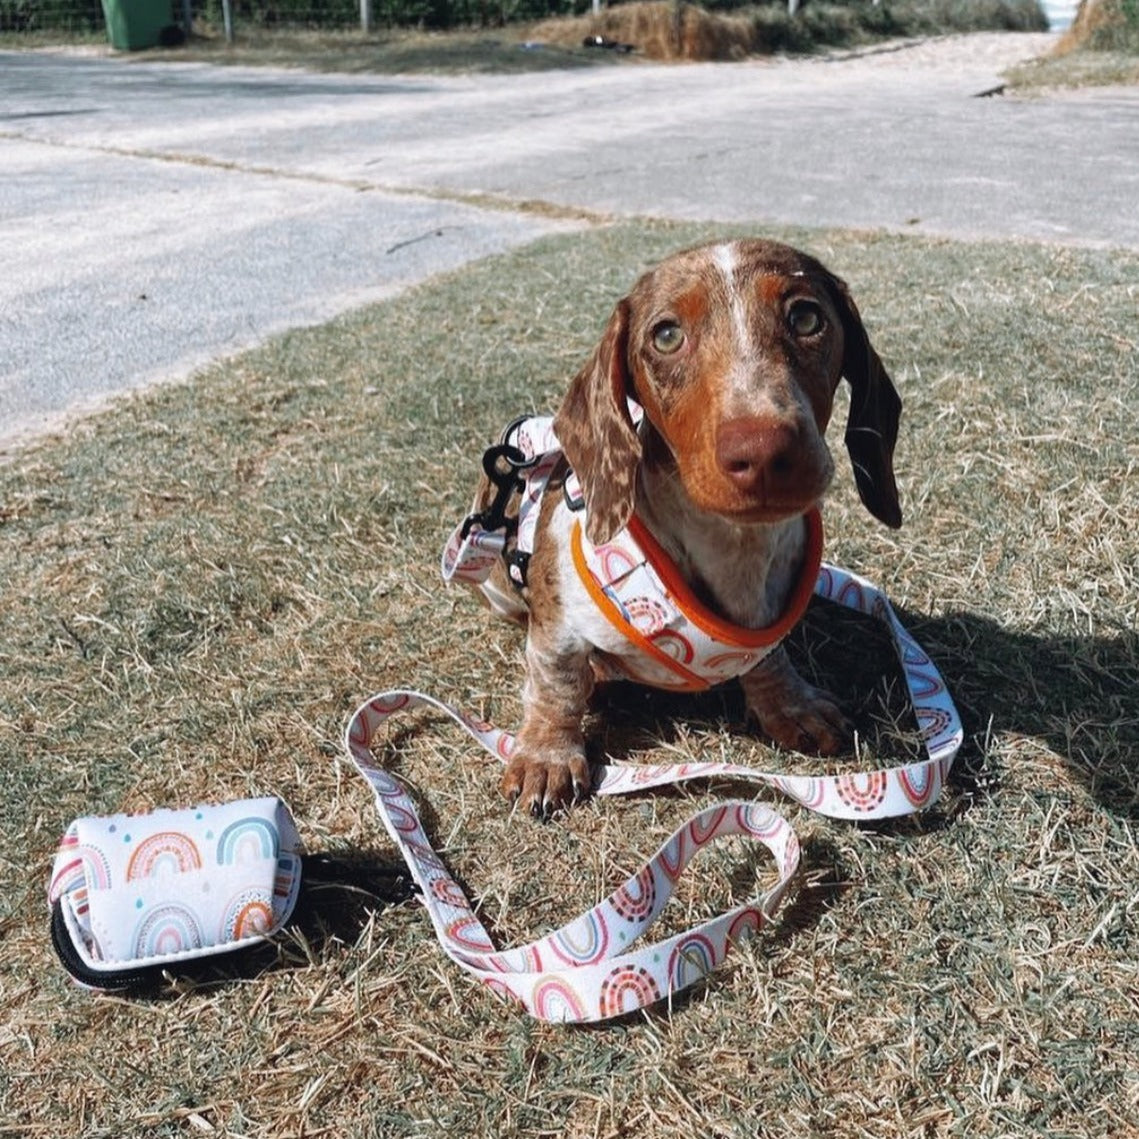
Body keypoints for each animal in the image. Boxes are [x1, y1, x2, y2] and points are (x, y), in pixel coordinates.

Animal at [462, 235, 897, 815]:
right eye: (666, 334)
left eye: (806, 317)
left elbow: (769, 658)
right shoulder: (557, 629)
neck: (732, 547)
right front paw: (546, 755)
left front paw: (790, 704)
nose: (762, 450)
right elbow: (556, 682)